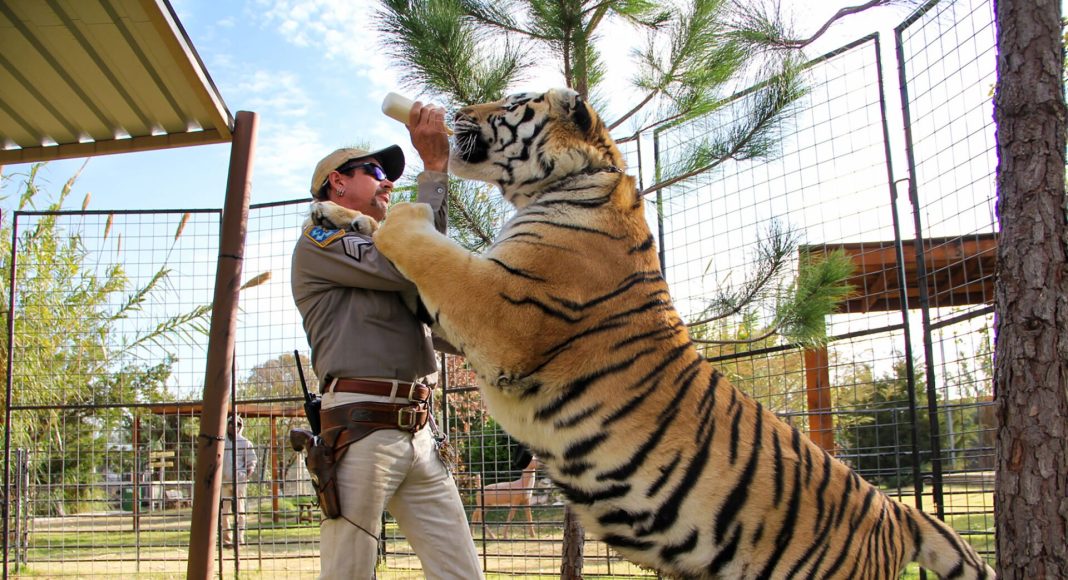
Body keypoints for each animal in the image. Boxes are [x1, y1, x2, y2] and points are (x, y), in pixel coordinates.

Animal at [365, 88, 996, 579]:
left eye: (511, 104)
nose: (456, 111)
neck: (572, 181)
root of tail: (897, 511)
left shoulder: (501, 308)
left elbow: (430, 250)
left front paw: (392, 214)